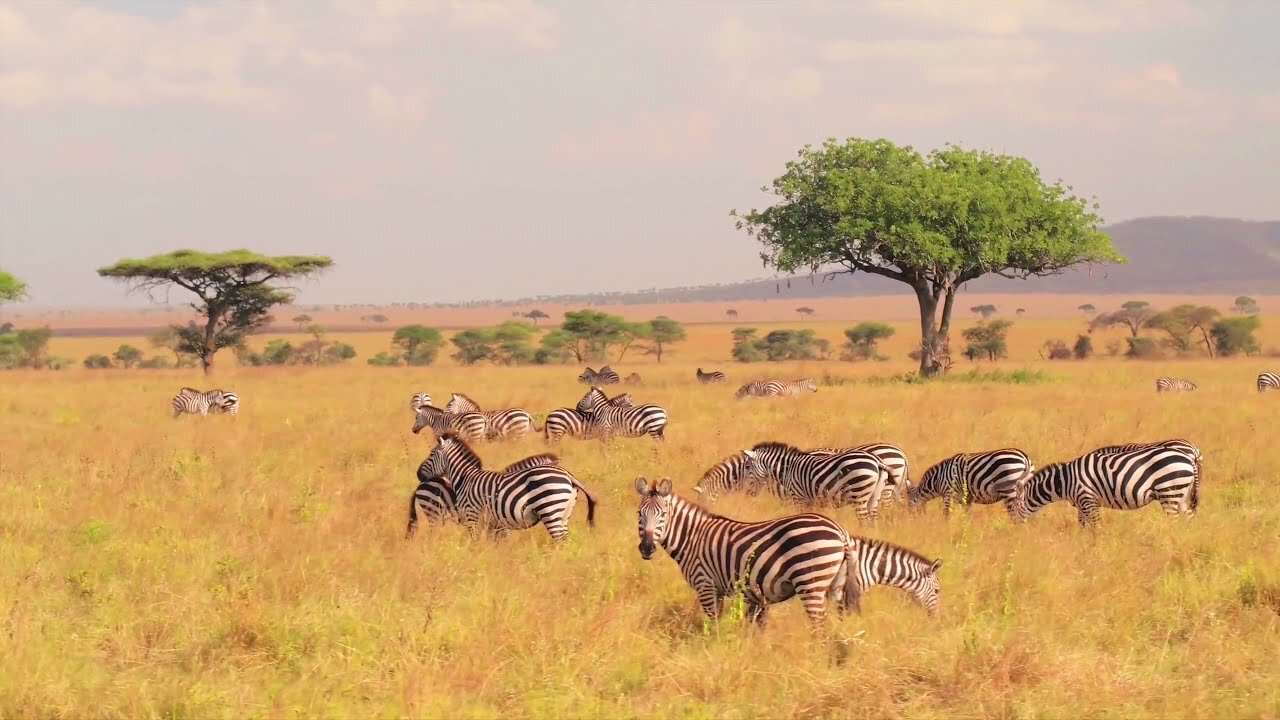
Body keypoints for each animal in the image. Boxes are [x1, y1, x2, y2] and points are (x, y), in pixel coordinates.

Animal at [422, 430, 596, 538]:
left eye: (431, 454)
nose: (418, 474)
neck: (465, 478)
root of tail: (568, 475)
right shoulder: (493, 523)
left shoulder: (472, 516)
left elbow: (475, 542)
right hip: (564, 514)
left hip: (550, 509)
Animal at [632, 476, 942, 622]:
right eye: (639, 514)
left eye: (663, 515)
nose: (646, 548)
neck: (693, 538)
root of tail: (840, 532)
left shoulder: (706, 585)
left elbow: (714, 626)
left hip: (811, 582)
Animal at [742, 438, 890, 520]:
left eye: (747, 467)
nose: (747, 494)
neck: (788, 470)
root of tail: (877, 461)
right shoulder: (811, 502)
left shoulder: (798, 499)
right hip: (874, 496)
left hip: (859, 494)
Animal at [906, 445, 1034, 517]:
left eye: (908, 508)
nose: (907, 524)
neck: (937, 480)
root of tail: (1024, 457)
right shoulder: (966, 499)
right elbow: (966, 516)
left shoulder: (948, 492)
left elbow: (946, 514)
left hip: (1008, 487)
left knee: (1014, 513)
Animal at [1013, 443, 1192, 527]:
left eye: (1016, 508)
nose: (1016, 530)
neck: (1064, 481)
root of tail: (1188, 458)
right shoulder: (1081, 504)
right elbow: (1082, 526)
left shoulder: (1087, 499)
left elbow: (1096, 526)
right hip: (1182, 495)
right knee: (1187, 520)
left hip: (1169, 492)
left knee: (1173, 521)